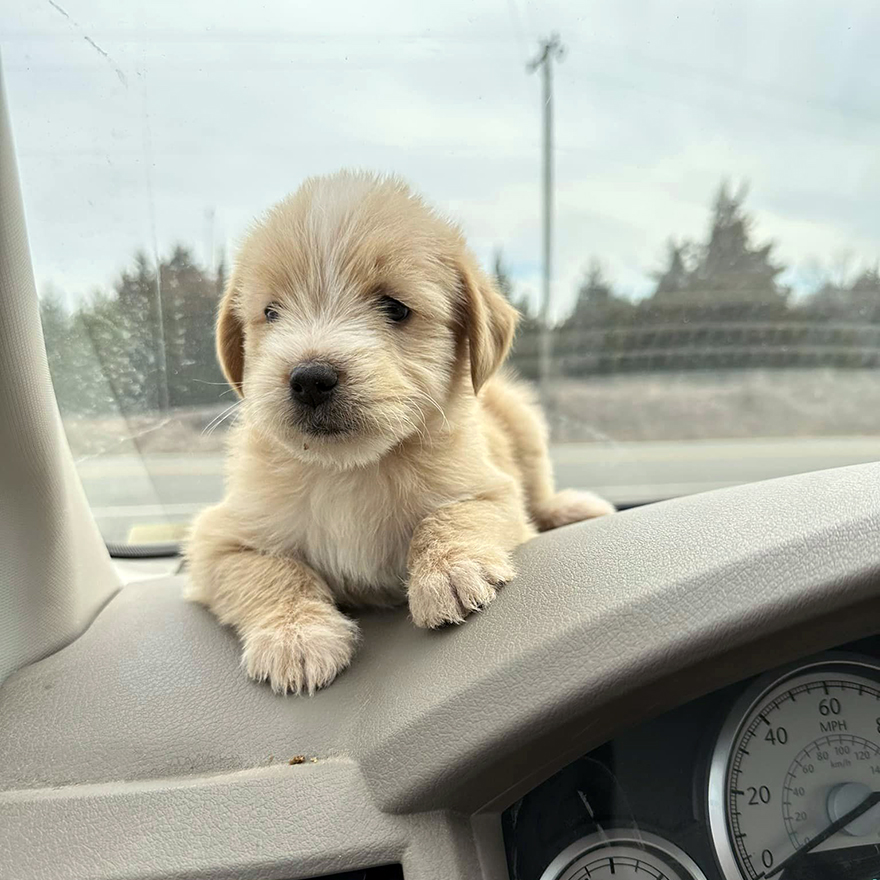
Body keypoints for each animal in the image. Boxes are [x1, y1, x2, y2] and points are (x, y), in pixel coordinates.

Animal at [184, 172, 612, 696]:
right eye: (270, 313)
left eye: (395, 307)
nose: (309, 378)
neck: (350, 469)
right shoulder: (216, 539)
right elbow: (266, 570)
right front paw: (295, 634)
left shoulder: (492, 491)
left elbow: (451, 515)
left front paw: (449, 569)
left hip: (522, 420)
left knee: (540, 488)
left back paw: (572, 506)